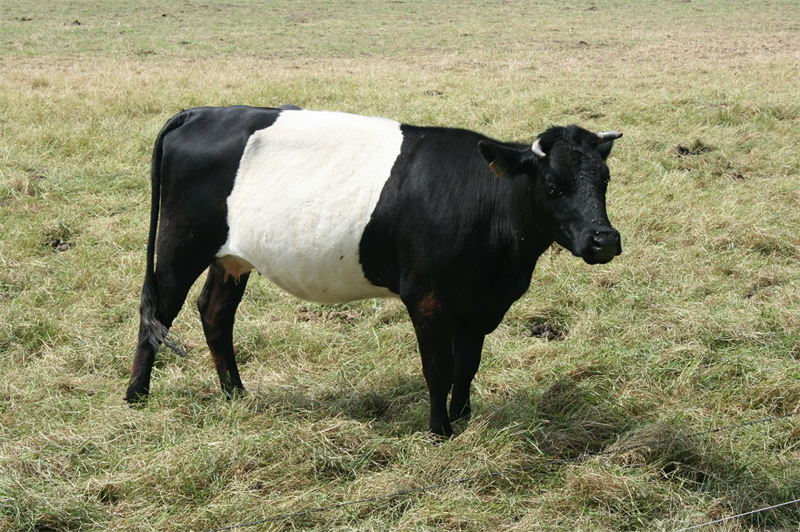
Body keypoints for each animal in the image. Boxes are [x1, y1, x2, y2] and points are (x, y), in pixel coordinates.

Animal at [126, 106, 624, 438]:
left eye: (604, 180)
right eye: (554, 185)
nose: (605, 240)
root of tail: (200, 112)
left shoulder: (477, 302)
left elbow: (467, 367)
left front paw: (463, 419)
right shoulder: (427, 296)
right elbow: (439, 369)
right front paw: (440, 431)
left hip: (231, 258)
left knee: (214, 313)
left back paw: (235, 393)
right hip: (179, 248)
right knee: (158, 314)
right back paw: (136, 396)